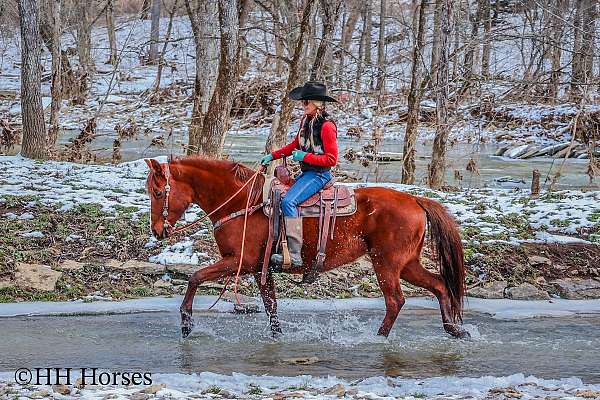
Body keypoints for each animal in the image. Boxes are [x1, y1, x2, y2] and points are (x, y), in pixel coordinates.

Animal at [144, 157, 468, 340]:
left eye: (158, 192)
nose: (158, 231)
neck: (243, 203)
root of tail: (415, 200)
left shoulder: (238, 262)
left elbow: (196, 277)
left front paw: (186, 323)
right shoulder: (260, 269)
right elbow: (271, 305)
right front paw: (276, 336)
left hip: (385, 263)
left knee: (395, 301)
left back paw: (380, 337)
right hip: (408, 264)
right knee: (440, 285)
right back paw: (454, 330)